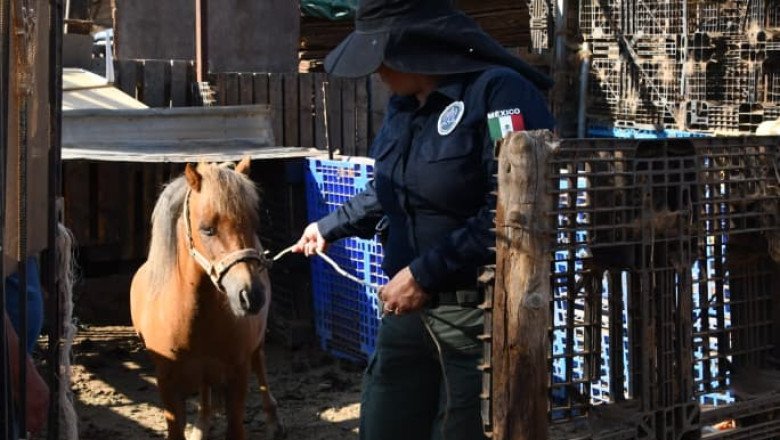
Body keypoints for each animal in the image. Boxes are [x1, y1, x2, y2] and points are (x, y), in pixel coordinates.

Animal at [130, 158, 284, 440]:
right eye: (207, 229)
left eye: (253, 224)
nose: (251, 295)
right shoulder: (166, 381)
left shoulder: (238, 375)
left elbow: (236, 428)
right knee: (205, 390)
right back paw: (202, 425)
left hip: (255, 346)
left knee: (260, 366)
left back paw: (273, 421)